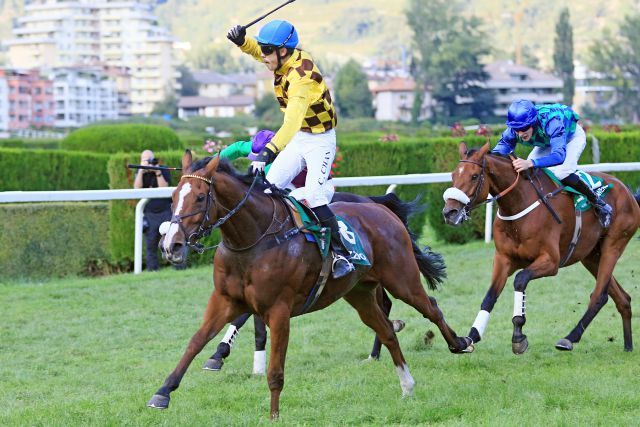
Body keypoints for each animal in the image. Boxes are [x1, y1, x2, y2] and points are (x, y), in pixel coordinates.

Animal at [148, 151, 472, 422]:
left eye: (201, 197)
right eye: (173, 196)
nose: (171, 245)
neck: (253, 240)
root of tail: (382, 210)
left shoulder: (278, 310)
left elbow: (275, 371)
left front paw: (274, 416)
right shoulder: (225, 300)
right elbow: (195, 342)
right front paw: (162, 393)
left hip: (401, 278)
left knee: (431, 307)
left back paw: (461, 343)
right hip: (360, 293)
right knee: (387, 330)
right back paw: (407, 385)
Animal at [442, 143, 636, 354]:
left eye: (474, 176)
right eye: (453, 175)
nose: (449, 213)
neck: (518, 206)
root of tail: (627, 191)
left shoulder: (551, 262)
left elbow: (520, 280)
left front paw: (518, 336)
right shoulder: (503, 259)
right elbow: (489, 297)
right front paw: (471, 336)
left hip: (613, 245)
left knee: (600, 295)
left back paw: (569, 338)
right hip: (591, 256)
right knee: (621, 297)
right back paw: (628, 346)